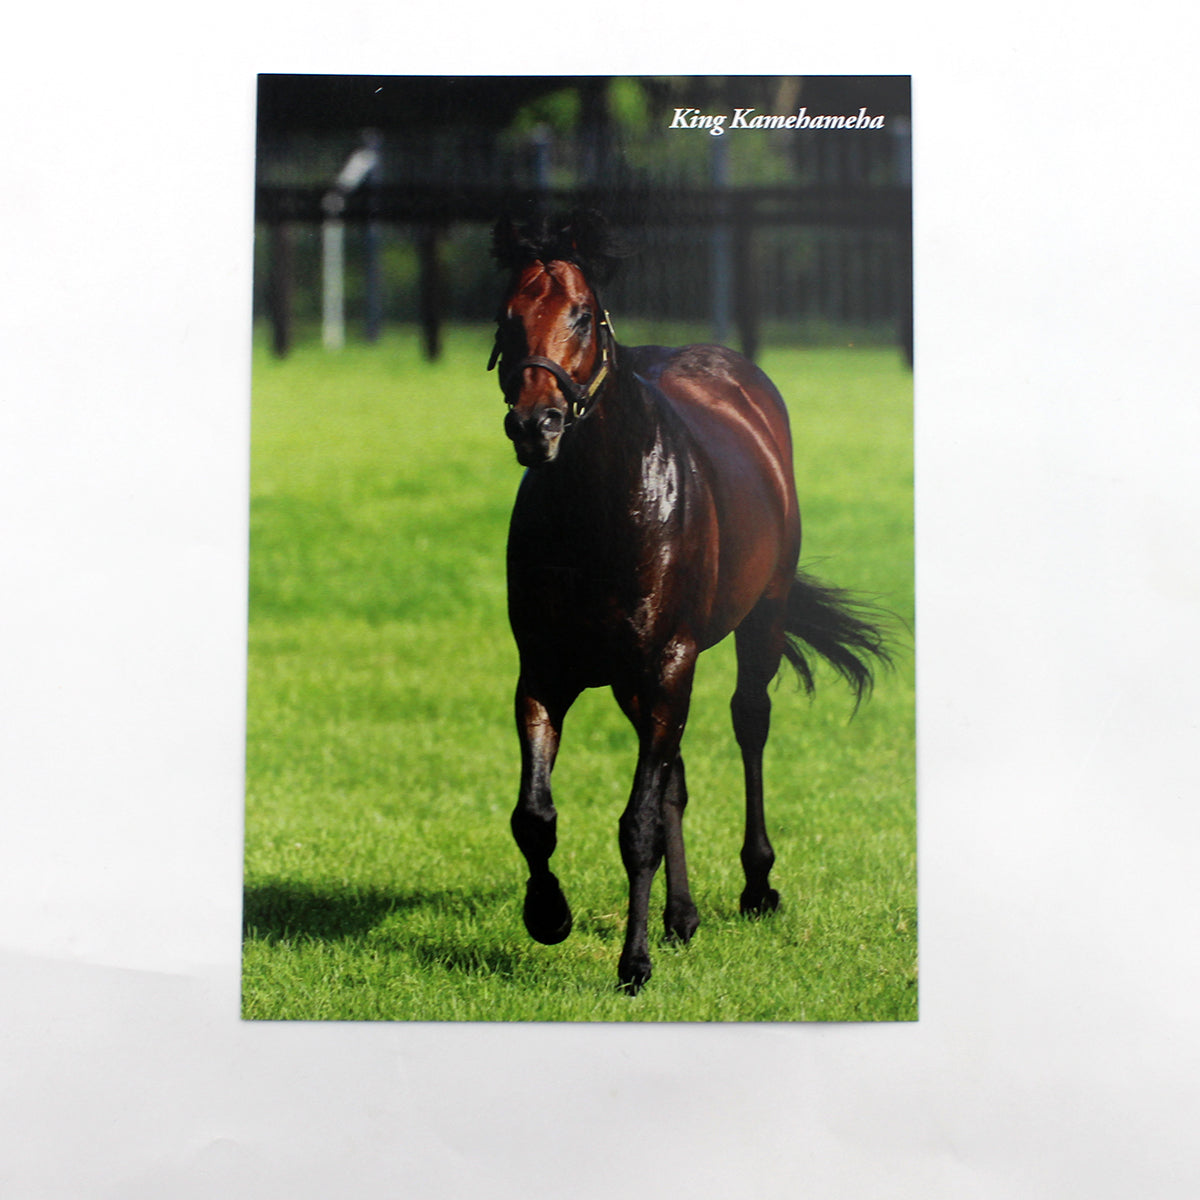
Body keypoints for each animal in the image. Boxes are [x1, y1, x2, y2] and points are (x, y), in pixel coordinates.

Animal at [488, 211, 890, 992]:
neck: (602, 510)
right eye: (509, 315)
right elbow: (536, 815)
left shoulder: (668, 663)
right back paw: (682, 915)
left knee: (749, 724)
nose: (535, 425)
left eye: (583, 314)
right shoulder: (547, 672)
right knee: (672, 776)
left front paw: (633, 962)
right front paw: (549, 915)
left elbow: (637, 823)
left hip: (756, 624)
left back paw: (756, 887)